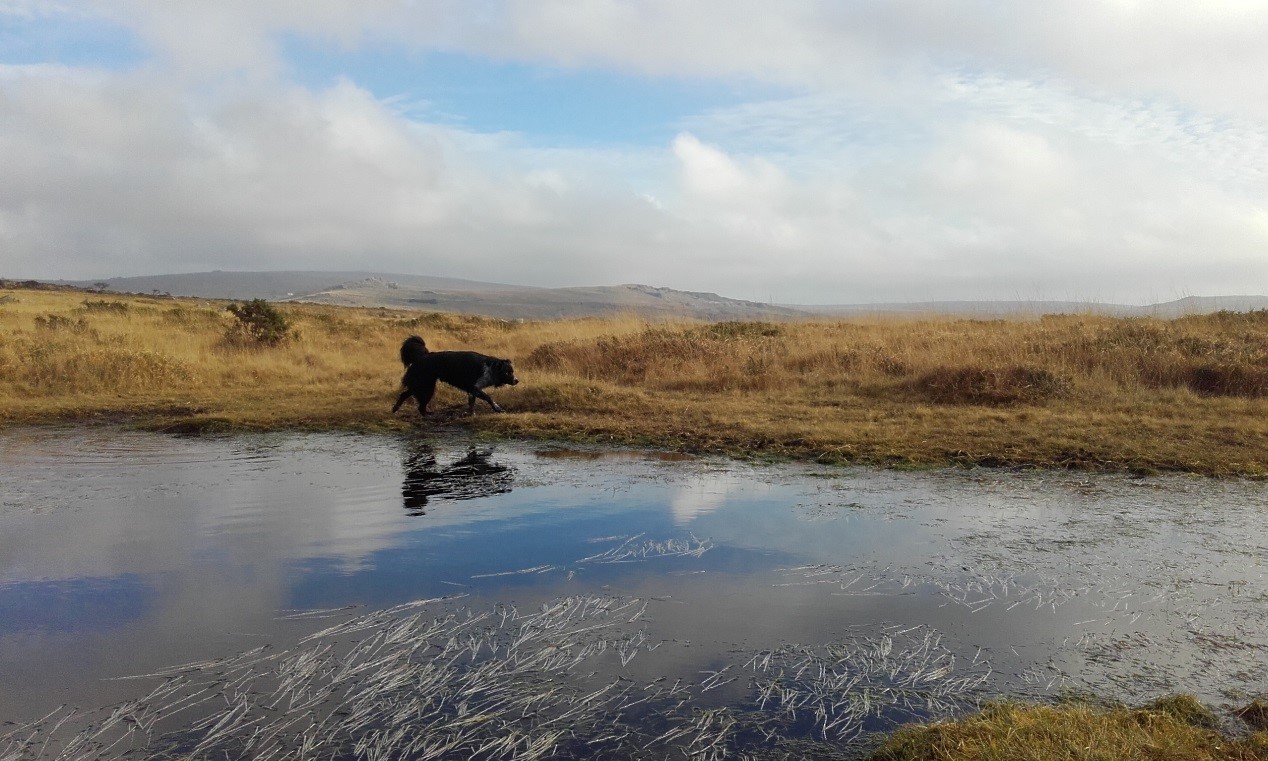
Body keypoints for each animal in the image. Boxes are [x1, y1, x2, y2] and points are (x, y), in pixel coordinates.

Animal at [390, 334, 519, 416]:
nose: (517, 380)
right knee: (419, 405)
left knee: (405, 395)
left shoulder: (472, 390)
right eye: (508, 372)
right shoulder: (474, 387)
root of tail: (421, 356)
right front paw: (498, 409)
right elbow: (489, 398)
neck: (491, 368)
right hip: (426, 386)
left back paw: (395, 409)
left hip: (421, 385)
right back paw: (427, 416)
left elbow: (472, 403)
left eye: (512, 371)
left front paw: (471, 414)